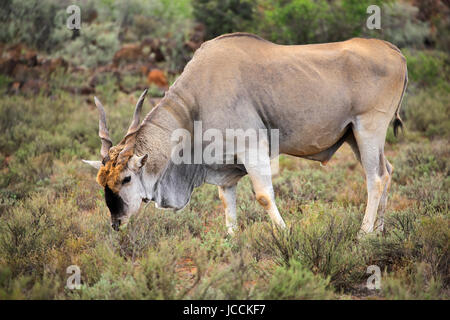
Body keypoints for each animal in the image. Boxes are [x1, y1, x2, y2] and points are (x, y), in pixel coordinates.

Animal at [83, 33, 408, 235]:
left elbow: (264, 196)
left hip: (368, 129)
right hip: (353, 136)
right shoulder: (224, 168)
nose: (116, 222)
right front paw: (230, 241)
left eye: (126, 178)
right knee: (388, 171)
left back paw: (363, 234)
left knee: (376, 178)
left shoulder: (254, 148)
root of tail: (395, 52)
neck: (195, 102)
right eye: (101, 182)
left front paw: (285, 234)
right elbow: (228, 204)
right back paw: (379, 231)